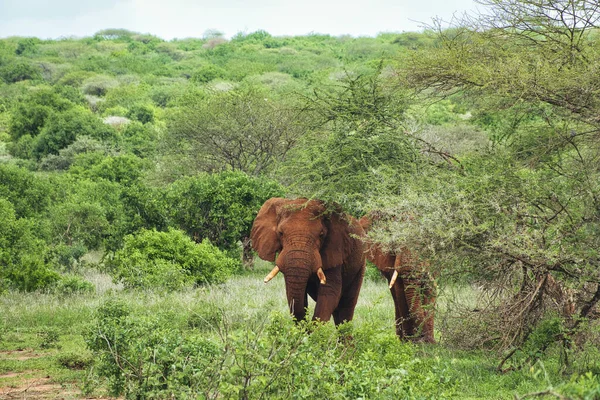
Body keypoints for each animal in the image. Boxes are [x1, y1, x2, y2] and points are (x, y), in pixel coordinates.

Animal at [356, 214, 436, 342]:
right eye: (395, 243)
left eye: (424, 244)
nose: (422, 337)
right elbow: (400, 292)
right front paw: (411, 342)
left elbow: (430, 290)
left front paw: (430, 342)